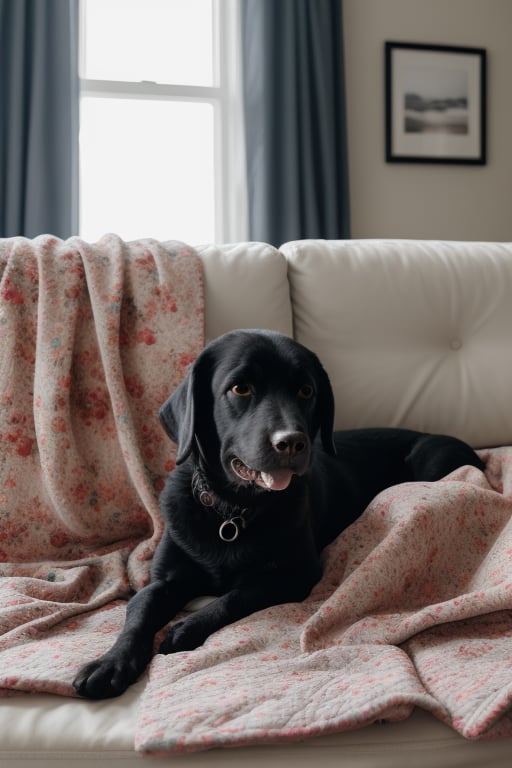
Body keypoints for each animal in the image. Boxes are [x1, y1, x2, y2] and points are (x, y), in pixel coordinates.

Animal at [73, 328, 484, 700]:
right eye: (240, 389)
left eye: (306, 391)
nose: (291, 443)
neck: (232, 512)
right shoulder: (163, 581)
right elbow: (139, 612)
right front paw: (109, 664)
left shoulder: (296, 574)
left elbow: (236, 594)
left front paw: (186, 628)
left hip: (433, 459)